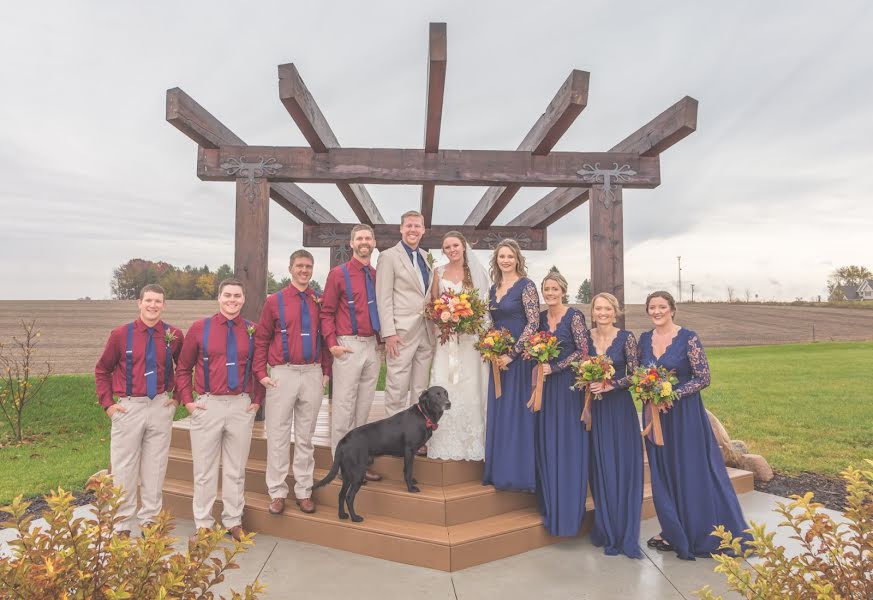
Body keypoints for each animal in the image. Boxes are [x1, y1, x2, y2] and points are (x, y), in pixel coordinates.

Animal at [312, 386, 450, 524]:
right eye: (437, 395)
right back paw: (355, 518)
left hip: (347, 474)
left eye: (446, 393)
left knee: (341, 495)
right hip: (357, 473)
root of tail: (344, 440)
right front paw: (411, 488)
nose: (449, 403)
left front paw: (412, 482)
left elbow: (408, 470)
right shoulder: (409, 450)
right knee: (349, 497)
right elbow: (408, 470)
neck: (424, 416)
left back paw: (342, 515)